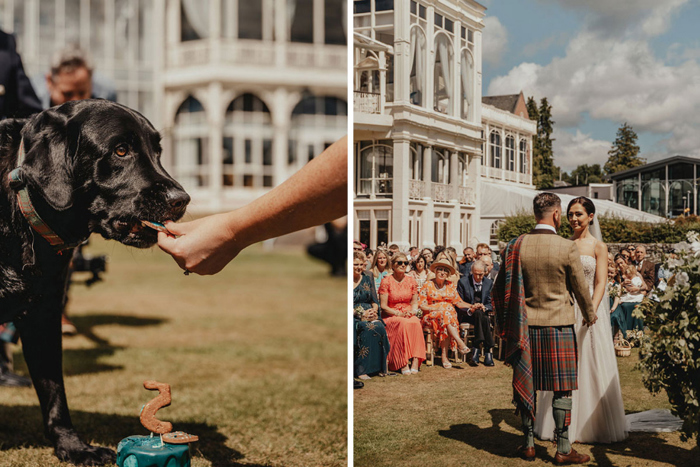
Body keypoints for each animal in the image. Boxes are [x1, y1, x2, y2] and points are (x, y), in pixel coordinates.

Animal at [0, 98, 190, 464]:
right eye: (120, 150)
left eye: (157, 150)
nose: (182, 200)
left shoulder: (44, 316)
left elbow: (54, 392)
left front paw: (73, 447)